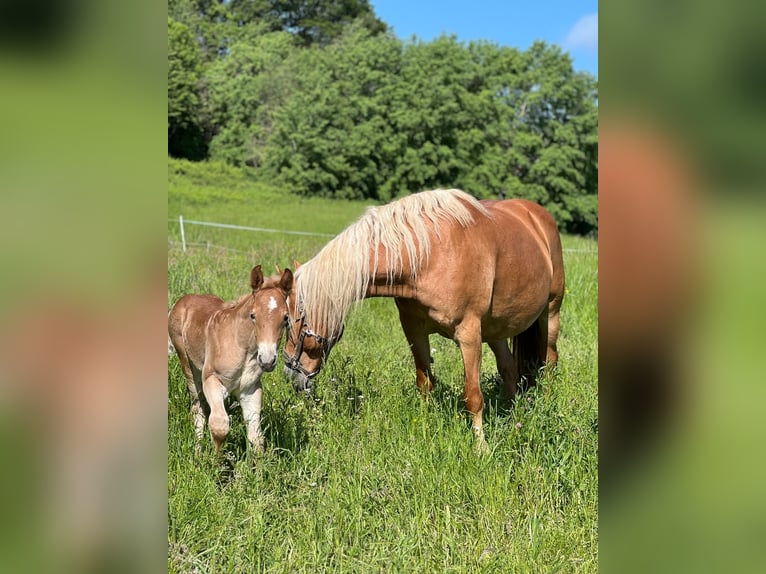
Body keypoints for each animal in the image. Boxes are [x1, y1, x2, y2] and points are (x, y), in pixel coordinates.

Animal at [170, 266, 292, 454]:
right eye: (253, 315)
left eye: (285, 318)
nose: (267, 360)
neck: (242, 347)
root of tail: (184, 300)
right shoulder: (212, 379)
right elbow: (219, 426)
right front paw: (214, 460)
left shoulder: (250, 390)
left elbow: (256, 437)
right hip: (188, 367)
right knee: (198, 407)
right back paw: (197, 450)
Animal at [282, 190, 564, 450]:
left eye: (289, 320)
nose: (290, 374)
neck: (431, 254)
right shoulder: (413, 329)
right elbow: (424, 384)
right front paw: (425, 429)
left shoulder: (469, 334)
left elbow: (473, 396)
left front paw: (480, 448)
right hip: (495, 330)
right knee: (508, 368)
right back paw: (513, 412)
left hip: (550, 314)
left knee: (550, 363)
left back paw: (547, 403)